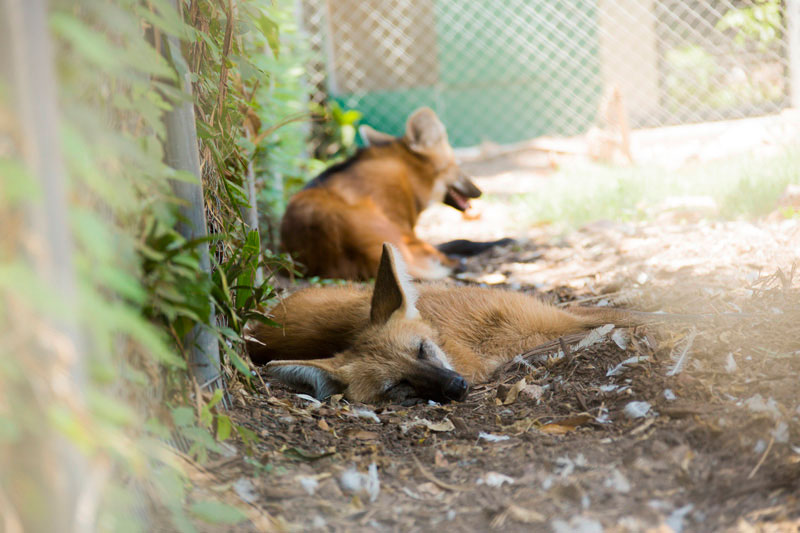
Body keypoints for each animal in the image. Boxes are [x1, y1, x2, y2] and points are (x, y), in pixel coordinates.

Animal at [280, 106, 506, 280]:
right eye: (457, 166)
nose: (479, 191)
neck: (407, 174)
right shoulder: (405, 234)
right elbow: (456, 243)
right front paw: (500, 241)